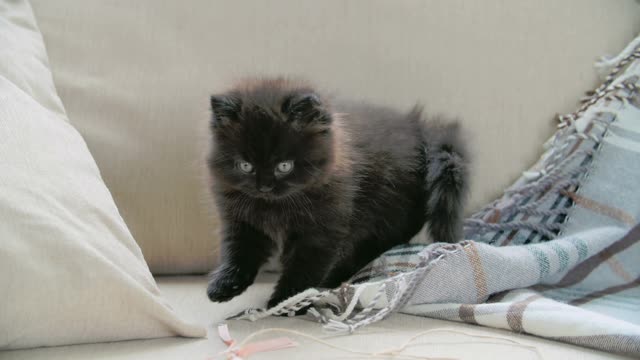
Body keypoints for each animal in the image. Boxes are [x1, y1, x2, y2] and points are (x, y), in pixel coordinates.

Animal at [208, 77, 468, 308]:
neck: (277, 205)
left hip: (388, 215)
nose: (264, 187)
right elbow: (239, 253)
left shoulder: (322, 228)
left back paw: (336, 278)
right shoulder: (243, 221)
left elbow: (305, 266)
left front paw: (286, 301)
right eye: (245, 166)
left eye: (284, 166)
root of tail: (420, 130)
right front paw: (224, 285)